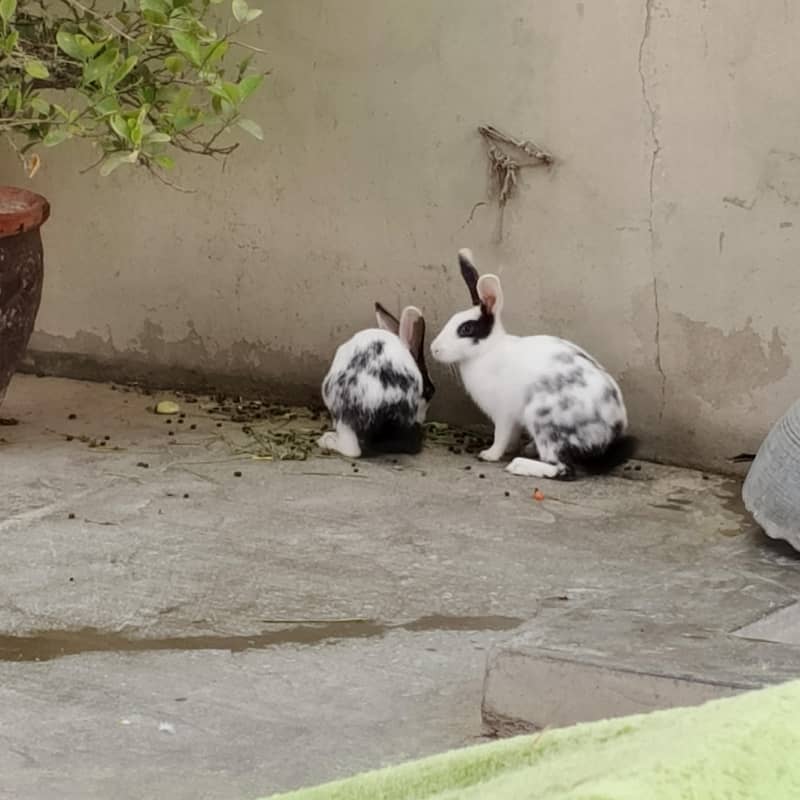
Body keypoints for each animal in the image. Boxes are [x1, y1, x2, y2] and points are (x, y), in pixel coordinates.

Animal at [429, 248, 636, 479]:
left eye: (466, 329)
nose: (434, 349)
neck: (488, 351)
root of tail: (610, 434)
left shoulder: (504, 413)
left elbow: (501, 435)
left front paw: (490, 454)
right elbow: (510, 437)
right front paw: (509, 449)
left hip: (543, 421)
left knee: (564, 469)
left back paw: (519, 465)